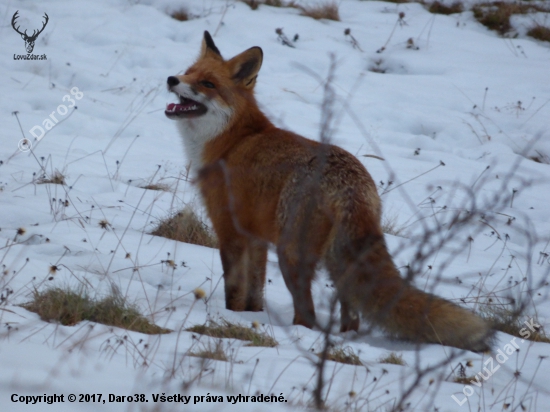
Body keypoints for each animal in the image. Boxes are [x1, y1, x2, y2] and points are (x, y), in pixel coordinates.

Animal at [166, 32, 494, 352]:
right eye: (188, 72)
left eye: (207, 84)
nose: (171, 79)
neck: (231, 141)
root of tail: (353, 184)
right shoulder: (256, 239)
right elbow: (254, 294)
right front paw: (251, 317)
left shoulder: (230, 232)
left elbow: (234, 291)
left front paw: (231, 318)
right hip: (337, 263)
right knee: (352, 316)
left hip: (291, 256)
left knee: (308, 315)